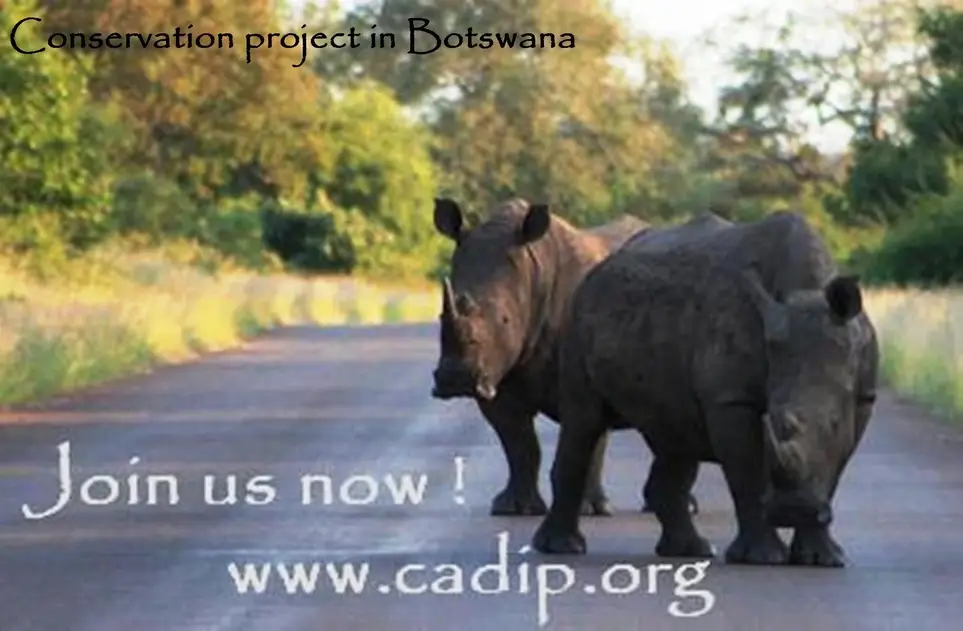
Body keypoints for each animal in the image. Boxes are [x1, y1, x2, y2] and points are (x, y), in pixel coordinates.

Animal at [430, 198, 713, 516]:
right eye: (440, 317)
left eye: (504, 320)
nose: (456, 378)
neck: (532, 273)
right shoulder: (498, 376)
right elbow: (519, 443)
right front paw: (513, 508)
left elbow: (588, 445)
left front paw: (587, 509)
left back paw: (682, 507)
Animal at [531, 210, 879, 567]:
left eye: (835, 423)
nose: (792, 511)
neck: (807, 290)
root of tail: (601, 265)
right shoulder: (731, 399)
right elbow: (747, 472)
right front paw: (764, 558)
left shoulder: (863, 398)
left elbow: (834, 466)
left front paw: (822, 558)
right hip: (576, 316)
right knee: (584, 420)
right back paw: (563, 548)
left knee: (674, 434)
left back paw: (689, 551)